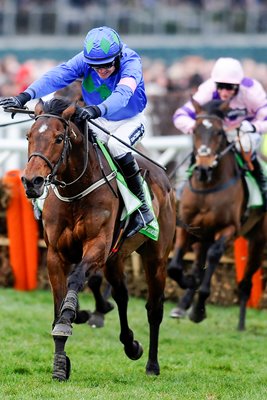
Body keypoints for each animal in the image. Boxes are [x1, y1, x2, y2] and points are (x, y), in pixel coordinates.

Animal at [21, 97, 178, 382]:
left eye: (59, 138)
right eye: (29, 136)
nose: (31, 181)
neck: (75, 191)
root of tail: (165, 179)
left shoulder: (97, 246)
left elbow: (75, 281)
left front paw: (70, 317)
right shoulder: (55, 255)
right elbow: (58, 304)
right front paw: (60, 363)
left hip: (155, 258)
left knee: (154, 309)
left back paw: (152, 364)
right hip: (115, 258)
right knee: (122, 295)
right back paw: (130, 344)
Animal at [169, 99, 266, 332]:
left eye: (219, 132)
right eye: (195, 130)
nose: (204, 167)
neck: (208, 186)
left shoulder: (227, 229)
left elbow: (213, 257)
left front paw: (199, 310)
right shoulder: (187, 227)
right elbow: (176, 266)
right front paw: (188, 287)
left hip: (258, 240)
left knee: (245, 282)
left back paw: (240, 323)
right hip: (203, 237)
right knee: (198, 265)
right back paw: (183, 304)